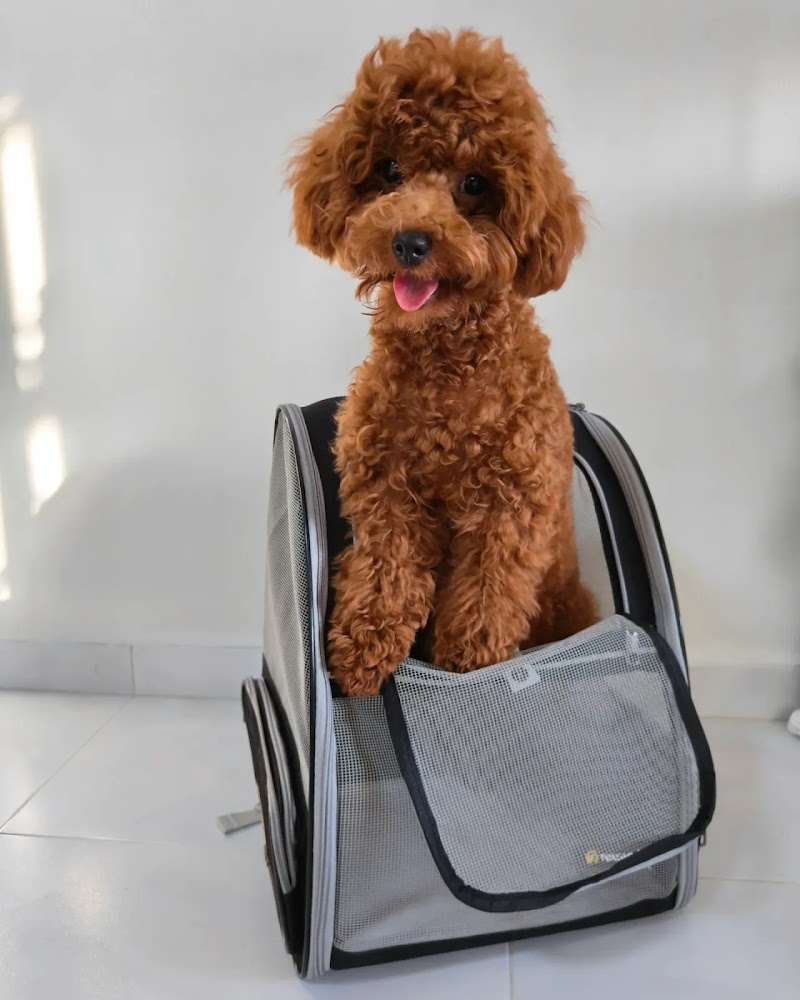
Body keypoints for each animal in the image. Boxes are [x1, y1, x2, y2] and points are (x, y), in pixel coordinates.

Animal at [289, 28, 598, 696]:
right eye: (390, 170)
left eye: (475, 183)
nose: (410, 241)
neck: (447, 370)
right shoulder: (386, 486)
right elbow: (388, 572)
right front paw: (361, 651)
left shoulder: (510, 508)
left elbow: (486, 595)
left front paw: (466, 667)